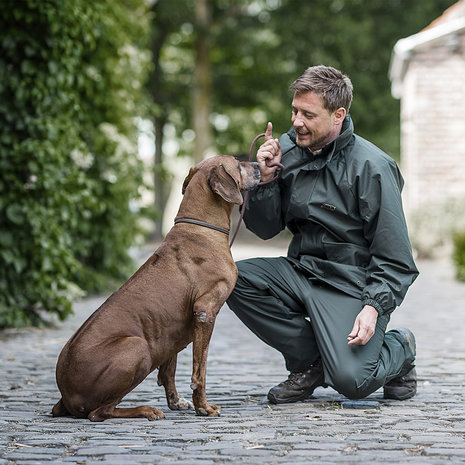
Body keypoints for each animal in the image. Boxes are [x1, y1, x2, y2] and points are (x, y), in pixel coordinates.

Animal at [53, 155, 260, 420]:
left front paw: (176, 402)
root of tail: (67, 395)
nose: (260, 164)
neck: (202, 229)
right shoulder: (205, 312)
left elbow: (168, 370)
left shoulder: (173, 331)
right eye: (238, 162)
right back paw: (145, 410)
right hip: (138, 346)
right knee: (99, 412)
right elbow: (200, 370)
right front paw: (203, 407)